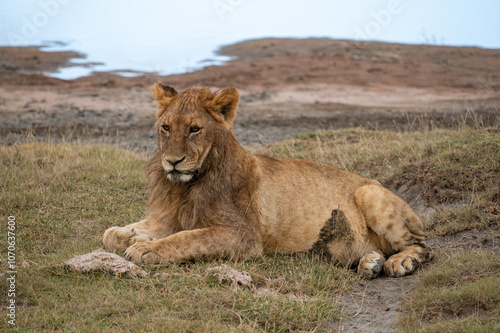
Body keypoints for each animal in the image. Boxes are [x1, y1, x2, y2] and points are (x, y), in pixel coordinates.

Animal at [102, 83, 434, 278]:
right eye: (166, 127)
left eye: (195, 129)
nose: (173, 161)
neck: (186, 186)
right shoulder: (168, 217)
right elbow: (110, 234)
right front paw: (132, 237)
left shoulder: (243, 236)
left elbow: (188, 238)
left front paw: (145, 249)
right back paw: (370, 263)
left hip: (370, 193)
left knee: (424, 246)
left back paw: (399, 263)